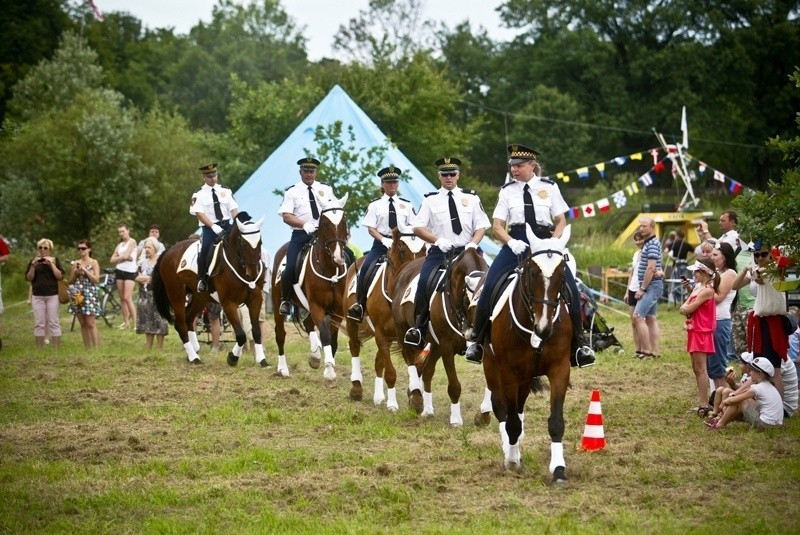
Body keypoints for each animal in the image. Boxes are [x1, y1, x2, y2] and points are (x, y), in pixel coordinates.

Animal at [153, 216, 268, 366]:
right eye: (243, 243)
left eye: (260, 242)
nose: (252, 275)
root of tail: (168, 251)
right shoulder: (228, 302)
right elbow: (241, 334)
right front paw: (232, 358)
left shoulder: (255, 298)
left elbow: (256, 331)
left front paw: (262, 360)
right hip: (176, 294)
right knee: (181, 324)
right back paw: (193, 357)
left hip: (199, 297)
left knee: (188, 319)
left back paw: (195, 349)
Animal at [272, 193, 346, 382]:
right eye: (325, 223)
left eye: (344, 221)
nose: (338, 257)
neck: (329, 269)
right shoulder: (317, 306)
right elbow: (325, 334)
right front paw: (329, 371)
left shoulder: (337, 310)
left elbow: (333, 338)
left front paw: (328, 363)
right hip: (277, 304)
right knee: (280, 333)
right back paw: (283, 369)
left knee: (307, 323)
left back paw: (315, 356)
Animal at [346, 227, 428, 410]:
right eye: (402, 249)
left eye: (425, 249)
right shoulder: (381, 332)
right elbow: (390, 372)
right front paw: (392, 404)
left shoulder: (410, 336)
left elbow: (417, 365)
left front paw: (414, 396)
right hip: (352, 321)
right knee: (355, 347)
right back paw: (356, 388)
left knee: (379, 360)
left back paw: (378, 397)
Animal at [394, 247, 488, 428]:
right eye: (470, 301)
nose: (475, 335)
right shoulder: (447, 346)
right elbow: (454, 386)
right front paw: (456, 419)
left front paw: (483, 415)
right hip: (404, 332)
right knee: (410, 359)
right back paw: (416, 398)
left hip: (435, 345)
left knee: (427, 371)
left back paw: (428, 409)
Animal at [478, 224, 572, 480]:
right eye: (532, 273)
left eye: (562, 275)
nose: (544, 328)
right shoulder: (508, 372)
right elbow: (510, 421)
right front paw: (511, 461)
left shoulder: (560, 368)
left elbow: (555, 421)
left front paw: (558, 469)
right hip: (492, 366)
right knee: (502, 409)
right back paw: (510, 452)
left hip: (526, 376)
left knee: (518, 410)